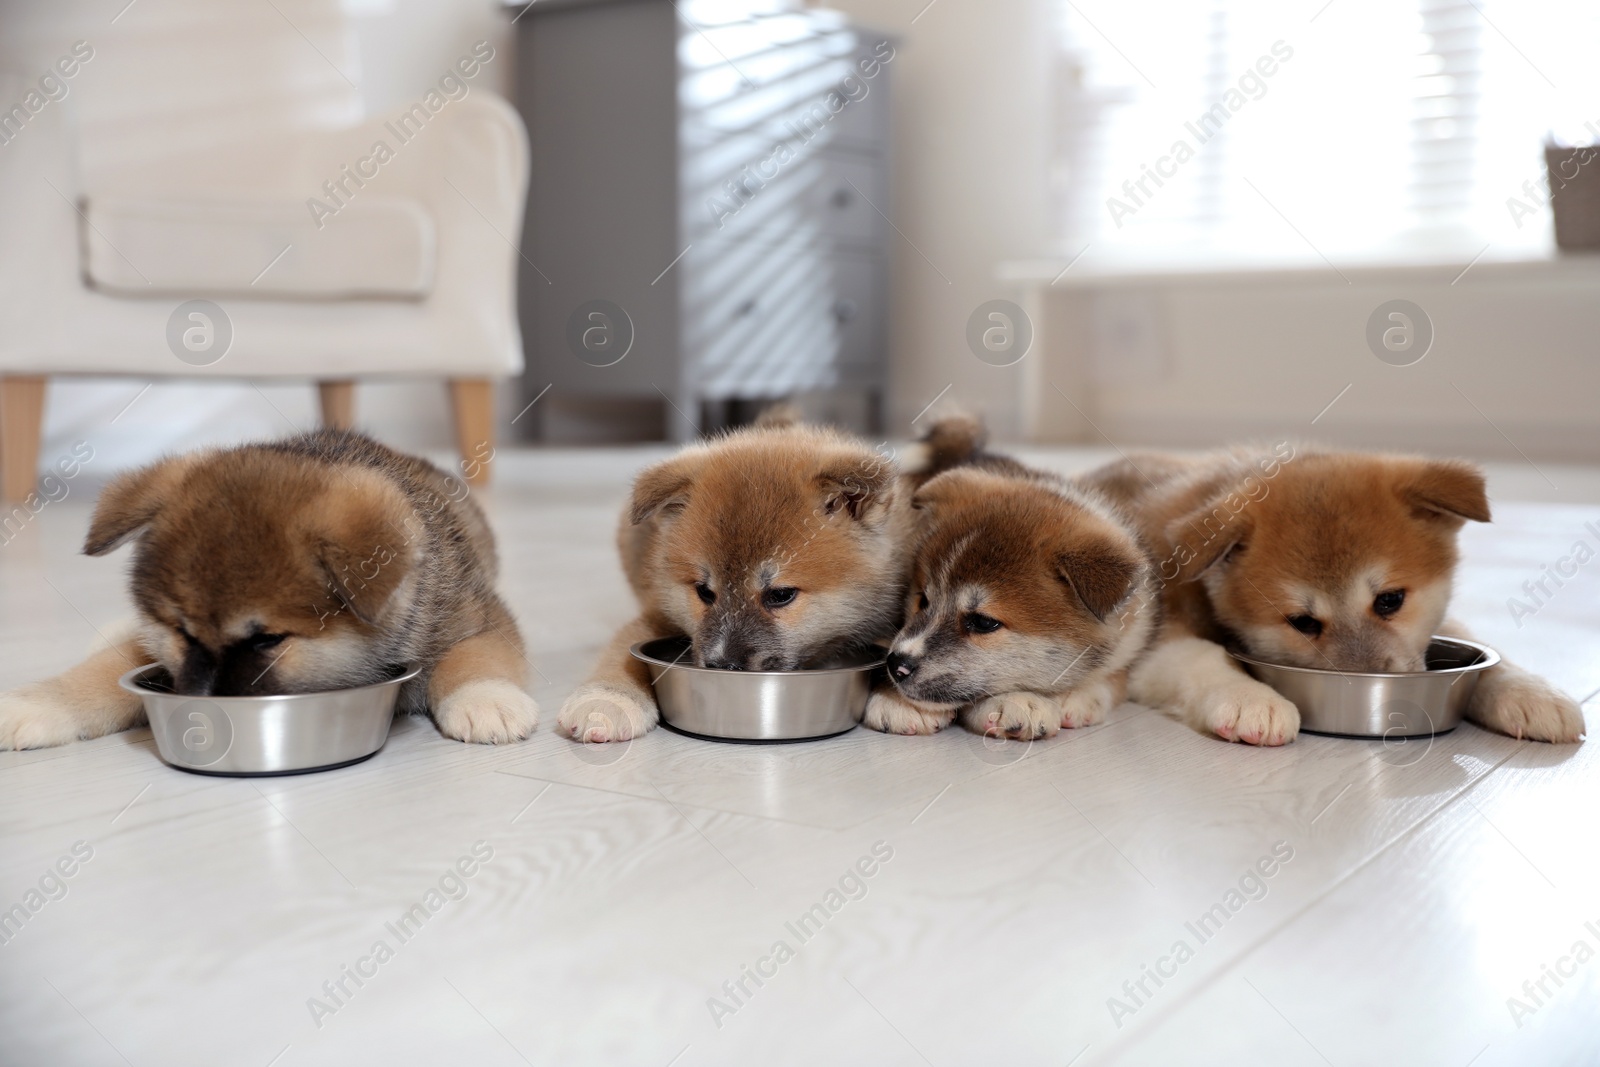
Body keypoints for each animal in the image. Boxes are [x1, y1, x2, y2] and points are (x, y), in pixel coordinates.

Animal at [0, 428, 540, 748]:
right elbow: (105, 670)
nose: (206, 707)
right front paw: (42, 703)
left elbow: (474, 657)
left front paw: (486, 699)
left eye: (267, 640)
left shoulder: (478, 617)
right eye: (183, 633)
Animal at [560, 415, 928, 742]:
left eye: (780, 595)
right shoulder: (657, 615)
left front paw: (900, 698)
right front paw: (607, 700)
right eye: (704, 592)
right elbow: (623, 651)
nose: (723, 665)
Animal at [864, 444, 1152, 742]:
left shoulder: (1131, 638)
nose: (897, 663)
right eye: (923, 600)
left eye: (983, 622)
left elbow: (1113, 677)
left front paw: (1071, 695)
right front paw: (897, 701)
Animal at [1081, 447, 1580, 748]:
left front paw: (1530, 692)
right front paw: (1249, 698)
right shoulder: (1153, 636)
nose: (1373, 687)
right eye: (1303, 622)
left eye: (1390, 600)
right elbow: (1204, 657)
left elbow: (1487, 653)